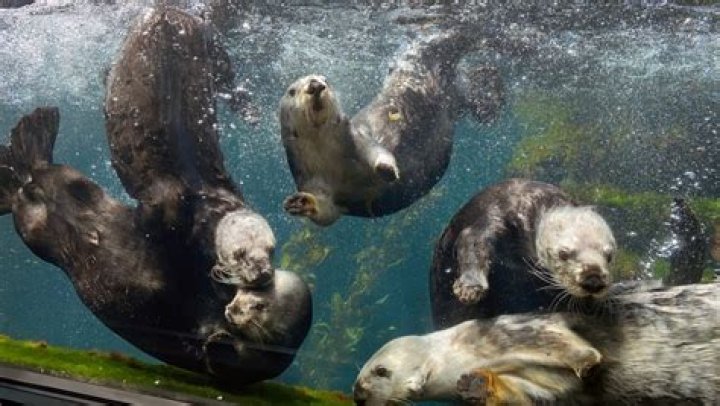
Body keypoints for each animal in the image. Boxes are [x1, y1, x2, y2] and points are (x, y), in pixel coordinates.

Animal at [105, 6, 272, 286]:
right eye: (240, 254)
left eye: (272, 249)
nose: (264, 272)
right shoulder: (162, 200)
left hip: (215, 51)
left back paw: (251, 113)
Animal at [278, 29, 504, 226]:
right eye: (292, 91)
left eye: (326, 79)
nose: (316, 85)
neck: (330, 156)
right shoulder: (310, 180)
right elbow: (326, 213)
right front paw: (302, 203)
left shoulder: (359, 139)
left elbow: (377, 152)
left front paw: (387, 169)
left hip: (423, 70)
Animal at [355, 282, 719, 405]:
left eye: (380, 371)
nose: (358, 396)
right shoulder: (540, 385)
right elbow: (530, 395)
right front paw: (476, 386)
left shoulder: (519, 331)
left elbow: (567, 343)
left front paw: (588, 361)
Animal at [430, 178, 616, 329]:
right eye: (563, 254)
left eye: (609, 256)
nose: (593, 280)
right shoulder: (495, 214)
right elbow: (473, 243)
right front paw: (470, 287)